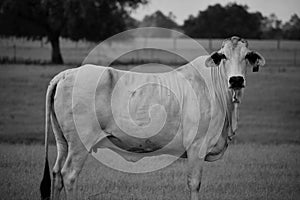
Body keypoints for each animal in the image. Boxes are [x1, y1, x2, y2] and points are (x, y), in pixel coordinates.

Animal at [39, 36, 264, 200]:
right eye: (223, 56)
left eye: (247, 56)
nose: (236, 80)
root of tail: (67, 73)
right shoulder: (197, 146)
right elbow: (194, 184)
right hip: (80, 142)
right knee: (69, 175)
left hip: (63, 141)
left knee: (56, 174)